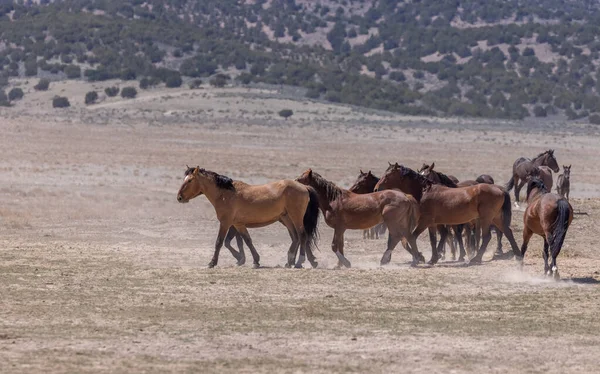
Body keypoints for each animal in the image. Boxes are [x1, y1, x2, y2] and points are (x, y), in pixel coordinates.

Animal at [177, 167, 322, 268]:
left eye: (189, 180)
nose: (179, 197)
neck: (225, 194)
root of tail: (304, 187)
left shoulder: (225, 222)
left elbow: (219, 242)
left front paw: (212, 263)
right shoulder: (238, 224)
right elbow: (247, 240)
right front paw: (255, 261)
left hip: (295, 217)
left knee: (302, 236)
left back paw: (299, 262)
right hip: (287, 218)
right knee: (296, 237)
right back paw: (290, 261)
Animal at [372, 164, 524, 266]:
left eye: (387, 175)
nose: (376, 188)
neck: (425, 191)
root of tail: (500, 189)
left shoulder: (424, 221)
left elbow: (411, 238)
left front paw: (419, 257)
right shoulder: (432, 223)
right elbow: (433, 240)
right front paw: (432, 258)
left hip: (486, 219)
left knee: (487, 237)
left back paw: (475, 259)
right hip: (496, 218)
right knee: (508, 232)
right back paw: (518, 256)